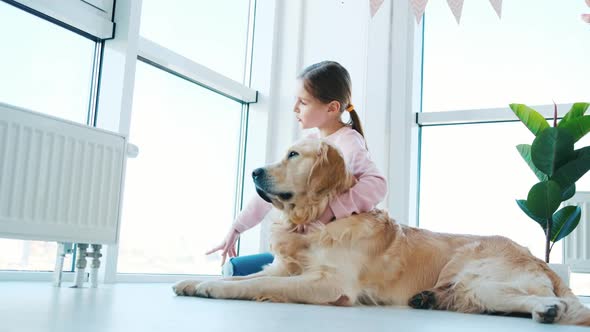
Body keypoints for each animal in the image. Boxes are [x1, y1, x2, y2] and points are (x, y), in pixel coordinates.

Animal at [173, 139, 590, 326]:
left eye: (293, 155)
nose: (255, 172)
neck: (319, 221)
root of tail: (537, 257)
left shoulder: (330, 282)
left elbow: (258, 284)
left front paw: (212, 287)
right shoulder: (282, 267)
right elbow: (249, 277)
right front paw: (194, 282)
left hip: (478, 276)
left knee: (546, 302)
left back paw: (547, 309)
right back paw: (429, 299)